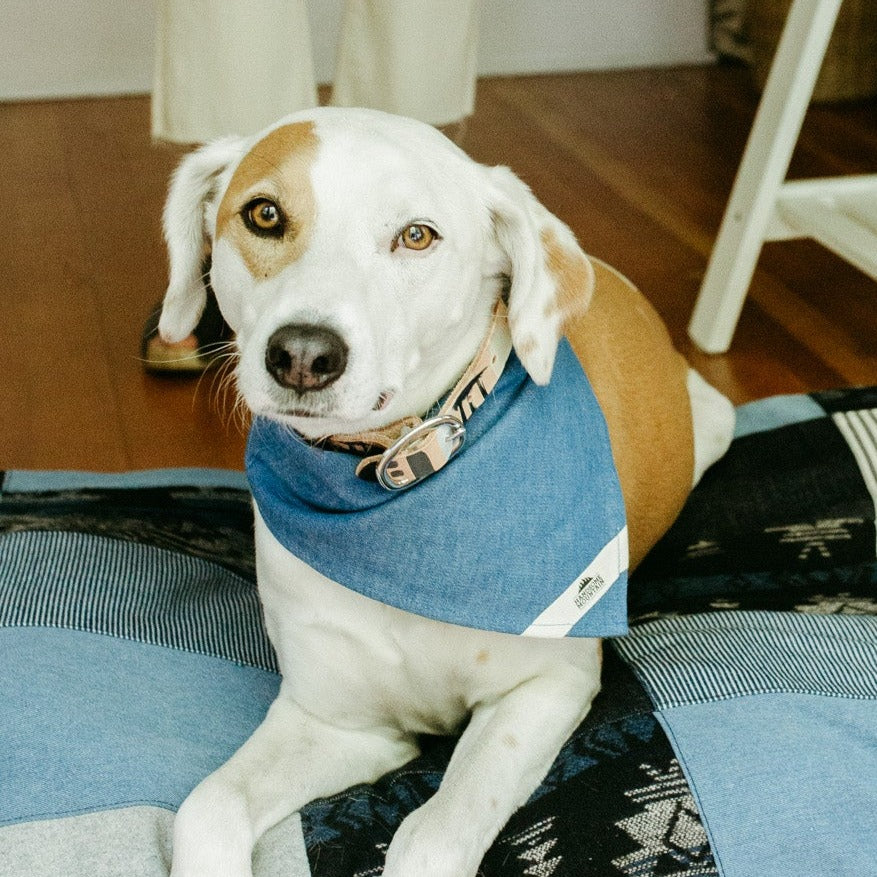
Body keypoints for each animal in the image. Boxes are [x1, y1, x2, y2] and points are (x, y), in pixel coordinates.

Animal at [159, 109, 732, 876]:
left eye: (416, 235)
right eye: (265, 215)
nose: (303, 355)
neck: (397, 489)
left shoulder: (544, 687)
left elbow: (430, 831)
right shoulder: (338, 723)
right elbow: (209, 805)